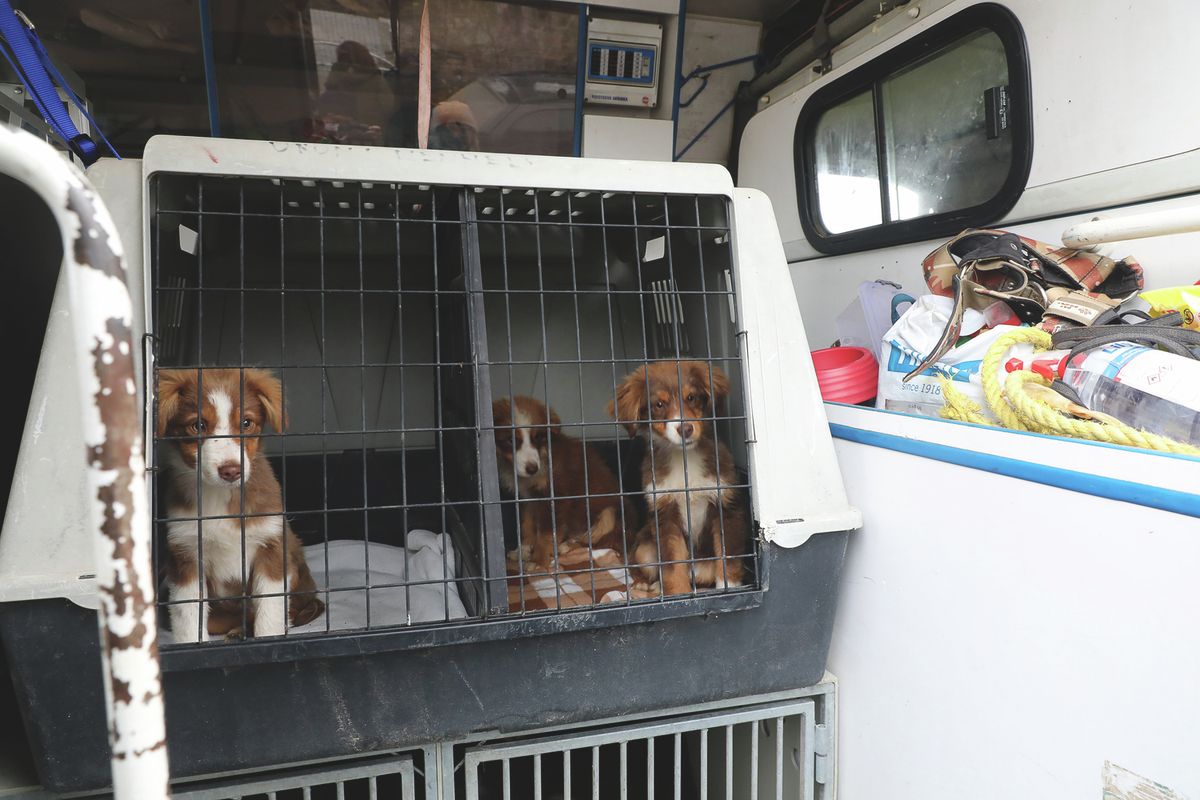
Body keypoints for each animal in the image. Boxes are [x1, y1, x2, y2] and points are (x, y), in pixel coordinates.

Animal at [154, 371, 326, 642]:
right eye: (198, 426)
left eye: (246, 423)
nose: (231, 471)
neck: (220, 496)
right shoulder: (186, 555)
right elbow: (189, 617)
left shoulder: (271, 548)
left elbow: (270, 613)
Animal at [492, 393, 633, 568]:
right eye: (510, 440)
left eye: (537, 437)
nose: (532, 469)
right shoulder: (528, 498)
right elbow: (527, 525)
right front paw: (523, 550)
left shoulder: (556, 497)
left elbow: (546, 533)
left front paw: (538, 561)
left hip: (611, 513)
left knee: (600, 543)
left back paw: (565, 547)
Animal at [614, 362, 744, 594]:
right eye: (658, 404)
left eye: (691, 397)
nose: (685, 429)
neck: (684, 457)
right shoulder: (665, 515)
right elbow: (673, 565)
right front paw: (678, 594)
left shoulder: (725, 505)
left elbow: (727, 554)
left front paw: (728, 588)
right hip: (645, 548)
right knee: (641, 566)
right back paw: (645, 585)